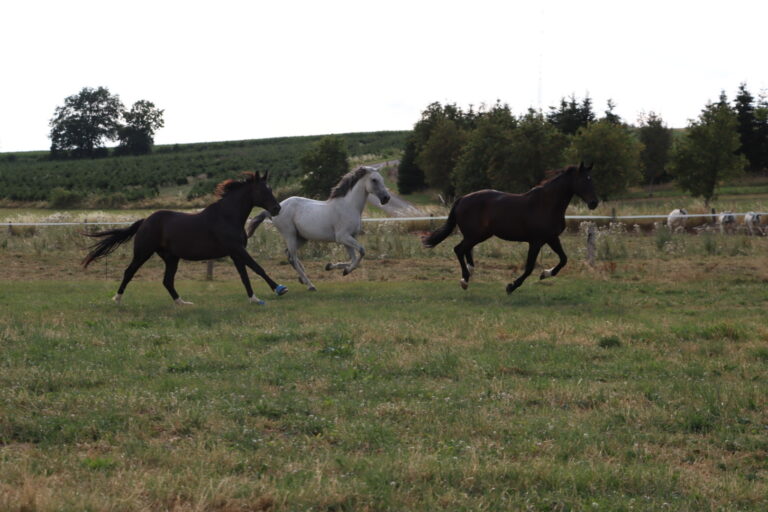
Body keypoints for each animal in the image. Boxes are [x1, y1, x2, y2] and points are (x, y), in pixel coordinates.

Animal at [82, 171, 288, 305]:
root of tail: (145, 221)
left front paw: (254, 299)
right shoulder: (237, 249)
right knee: (129, 272)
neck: (227, 217)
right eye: (262, 191)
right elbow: (257, 268)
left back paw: (182, 303)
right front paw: (279, 289)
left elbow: (245, 275)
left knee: (167, 281)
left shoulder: (236, 252)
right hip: (143, 252)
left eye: (271, 189)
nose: (277, 208)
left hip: (171, 258)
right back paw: (117, 299)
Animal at [247, 166, 391, 291]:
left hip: (301, 238)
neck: (349, 206)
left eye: (382, 179)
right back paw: (310, 285)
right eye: (374, 180)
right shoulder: (343, 237)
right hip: (290, 234)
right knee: (292, 257)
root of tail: (274, 210)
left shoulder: (349, 238)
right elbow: (362, 251)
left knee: (289, 255)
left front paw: (332, 267)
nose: (386, 198)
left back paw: (303, 279)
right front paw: (344, 270)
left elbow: (354, 259)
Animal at [422, 162, 599, 294]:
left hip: (479, 235)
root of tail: (462, 199)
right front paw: (511, 286)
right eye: (584, 180)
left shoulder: (551, 238)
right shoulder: (536, 241)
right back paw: (465, 280)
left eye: (592, 180)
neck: (546, 205)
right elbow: (529, 267)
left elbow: (563, 259)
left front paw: (545, 274)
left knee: (465, 250)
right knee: (459, 249)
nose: (594, 203)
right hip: (475, 235)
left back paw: (470, 273)